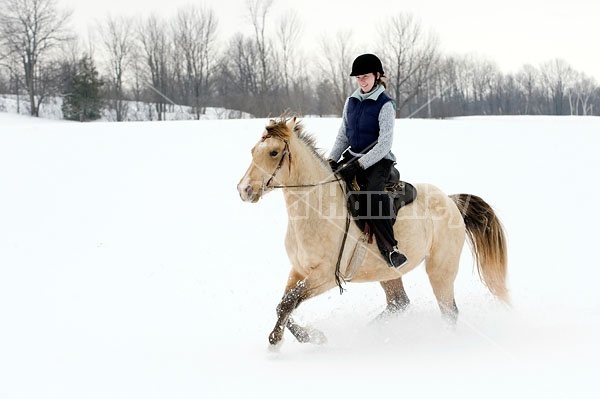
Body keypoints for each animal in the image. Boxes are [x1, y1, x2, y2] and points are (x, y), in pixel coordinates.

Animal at [237, 116, 508, 346]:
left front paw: (294, 338)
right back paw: (371, 332)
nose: (244, 190)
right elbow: (284, 304)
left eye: (274, 153)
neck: (317, 208)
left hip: (441, 270)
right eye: (253, 151)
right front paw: (304, 337)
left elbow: (289, 302)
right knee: (399, 303)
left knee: (449, 311)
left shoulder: (326, 277)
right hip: (388, 272)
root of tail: (452, 201)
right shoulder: (299, 270)